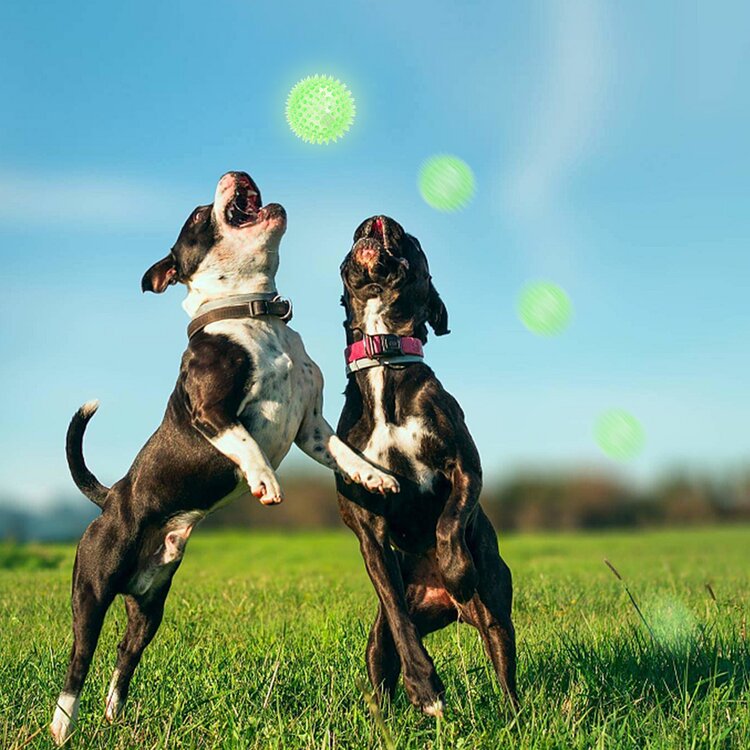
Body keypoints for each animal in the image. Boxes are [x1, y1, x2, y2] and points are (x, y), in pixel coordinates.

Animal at [50, 172, 402, 748]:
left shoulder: (311, 428)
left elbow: (344, 454)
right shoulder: (210, 412)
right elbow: (245, 442)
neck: (255, 315)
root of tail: (111, 498)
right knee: (79, 660)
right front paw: (265, 481)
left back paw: (114, 715)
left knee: (124, 656)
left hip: (149, 606)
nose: (233, 174)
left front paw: (374, 475)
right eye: (197, 216)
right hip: (92, 593)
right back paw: (63, 725)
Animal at [338, 216, 520, 716]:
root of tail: (446, 609)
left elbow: (450, 520)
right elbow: (396, 614)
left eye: (414, 241)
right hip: (377, 643)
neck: (383, 356)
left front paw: (456, 569)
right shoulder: (366, 525)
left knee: (507, 677)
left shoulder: (464, 468)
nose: (377, 219)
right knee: (384, 667)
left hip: (495, 616)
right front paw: (424, 686)